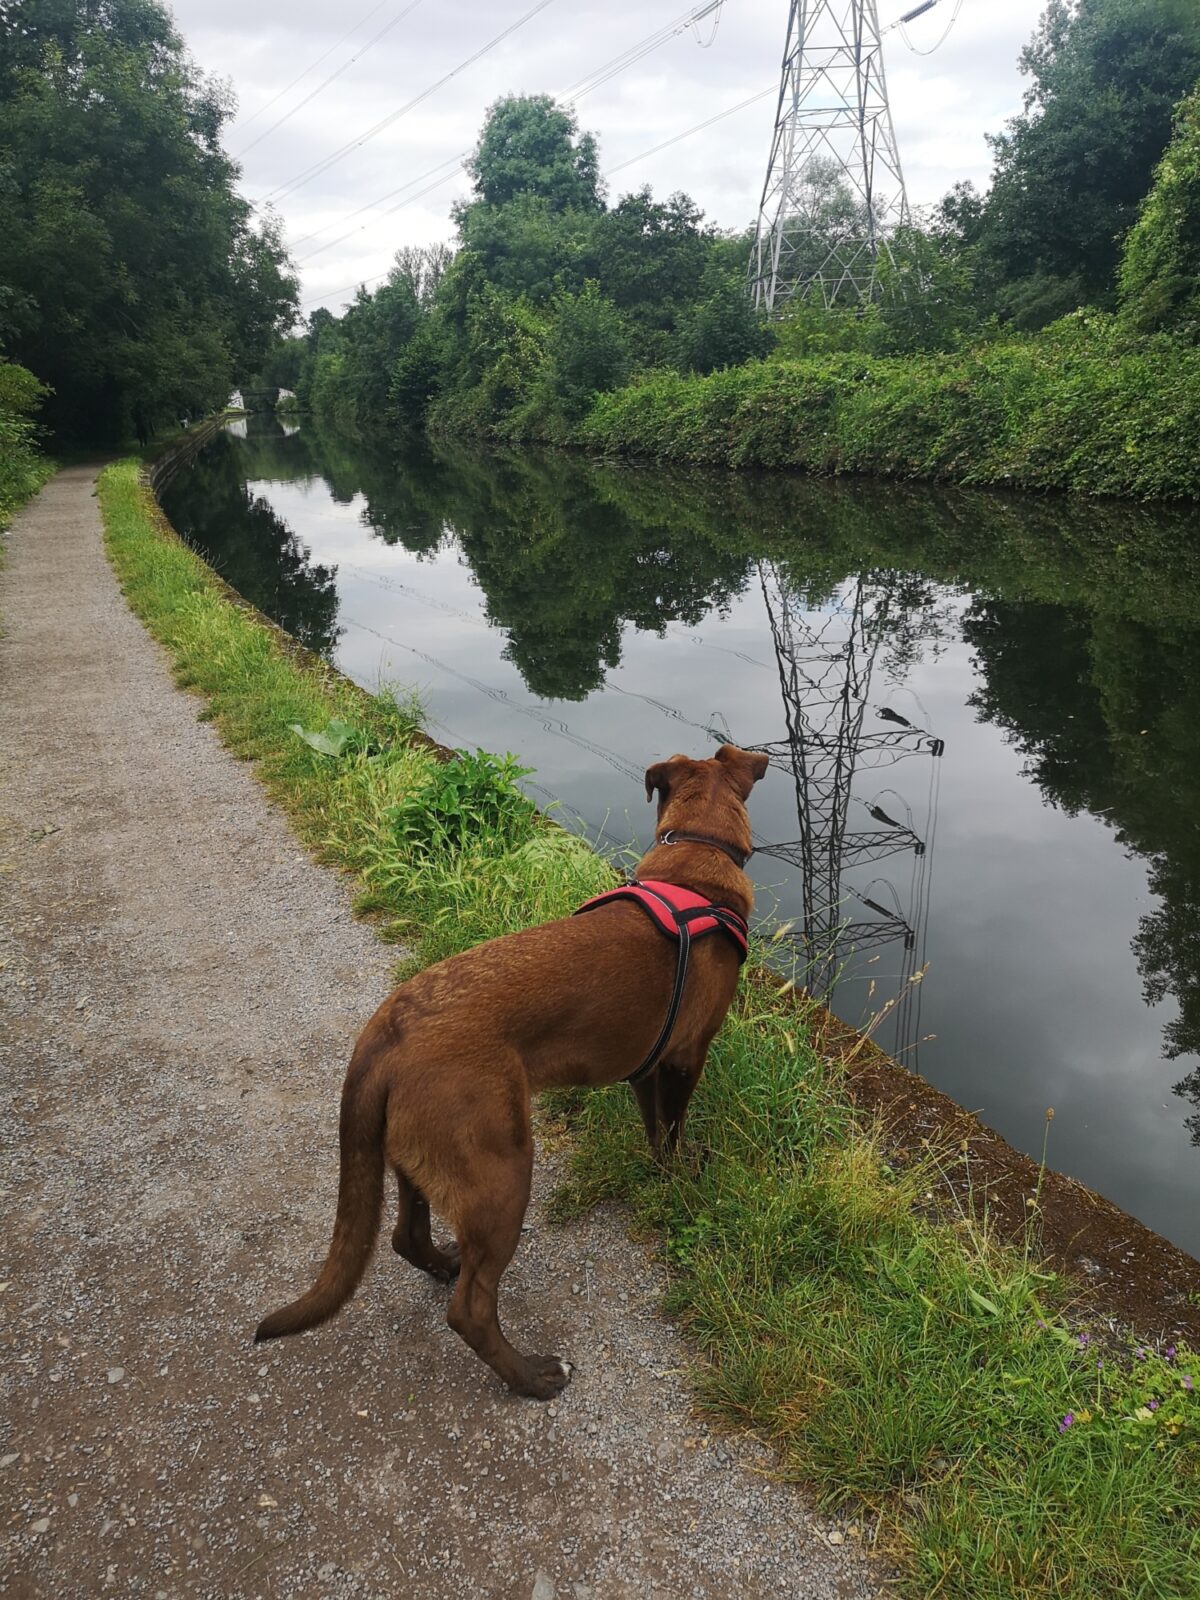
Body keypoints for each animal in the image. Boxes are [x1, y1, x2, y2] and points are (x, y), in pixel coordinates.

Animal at [254, 742, 771, 1395]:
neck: (695, 865)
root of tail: (385, 1035)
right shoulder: (684, 1058)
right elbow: (674, 1132)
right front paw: (682, 1178)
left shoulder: (646, 1068)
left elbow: (655, 1132)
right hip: (500, 1170)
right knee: (471, 1310)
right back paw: (532, 1376)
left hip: (420, 1158)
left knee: (406, 1237)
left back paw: (444, 1263)